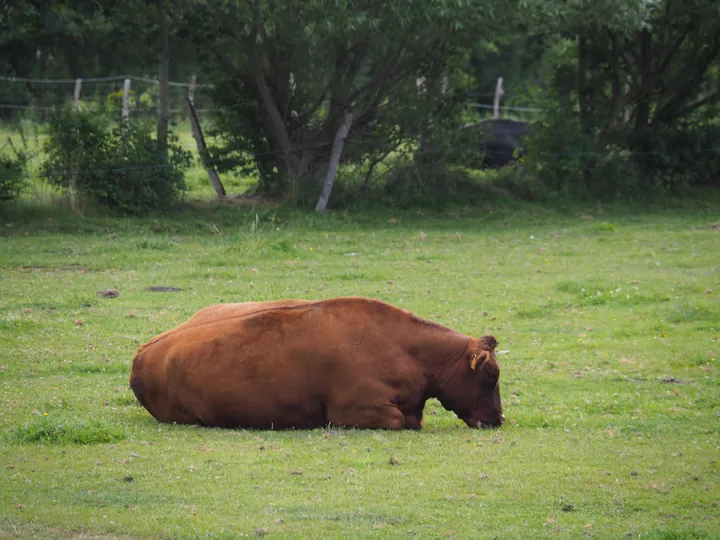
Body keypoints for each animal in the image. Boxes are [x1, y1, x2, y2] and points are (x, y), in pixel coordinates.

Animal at [128, 296, 500, 430]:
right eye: (490, 375)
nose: (497, 419)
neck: (405, 348)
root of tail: (142, 356)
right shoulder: (353, 411)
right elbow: (399, 421)